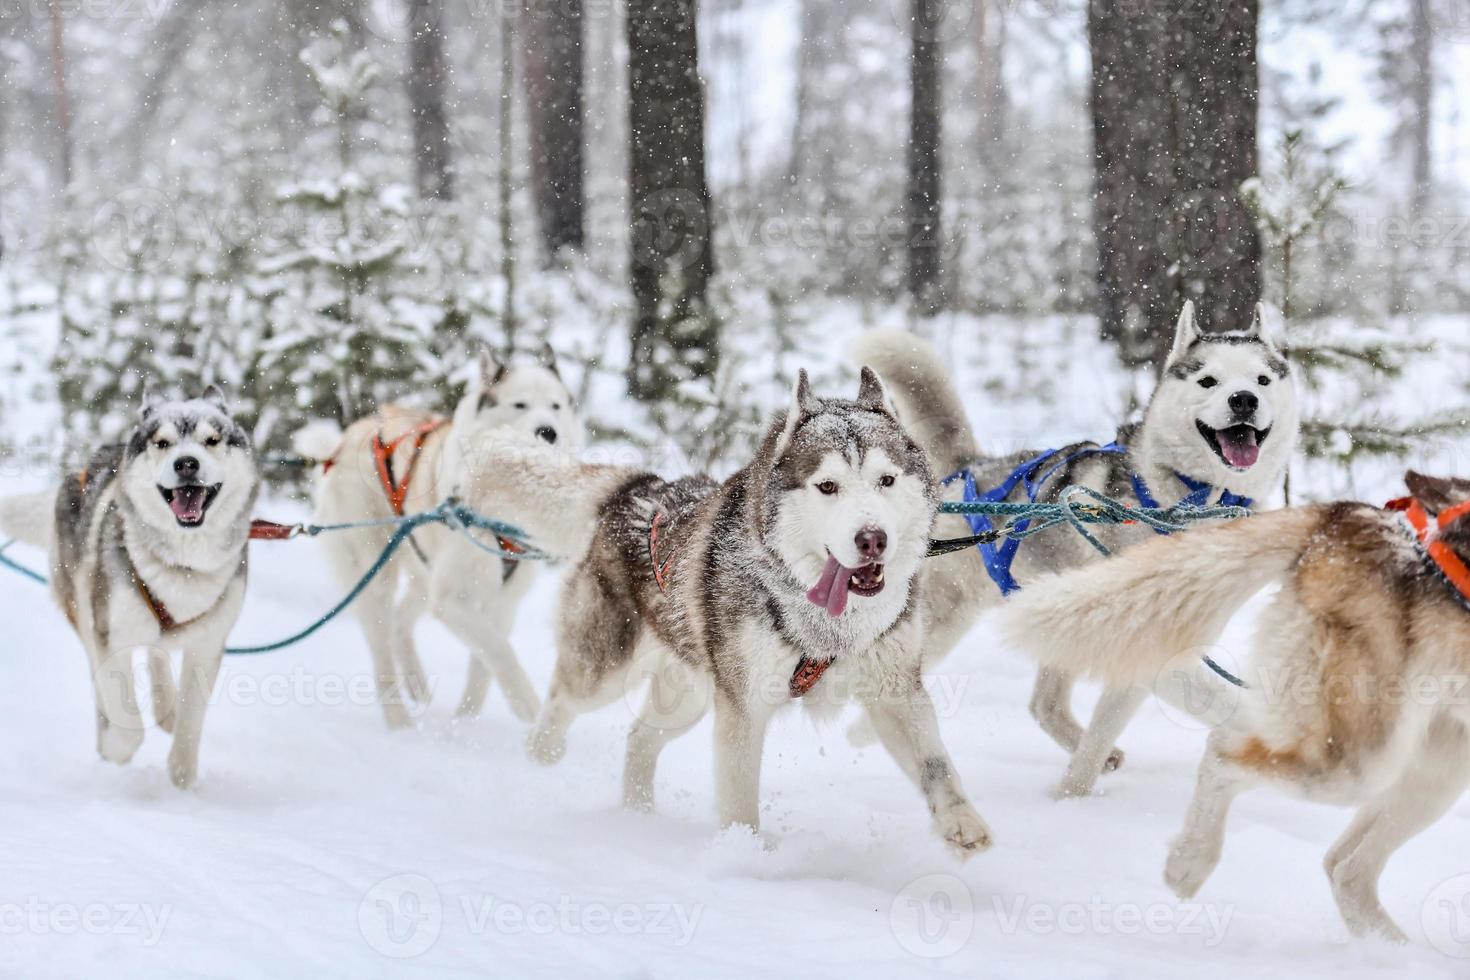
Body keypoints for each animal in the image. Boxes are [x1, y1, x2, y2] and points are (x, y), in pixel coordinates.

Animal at [0, 384, 258, 787]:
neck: (182, 564)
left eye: (212, 440)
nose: (187, 463)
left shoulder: (208, 644)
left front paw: (182, 774)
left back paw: (165, 708)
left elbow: (191, 718)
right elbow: (128, 724)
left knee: (158, 651)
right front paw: (116, 750)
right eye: (163, 443)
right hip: (85, 611)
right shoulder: (111, 636)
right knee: (104, 678)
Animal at [291, 345, 579, 728]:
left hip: (423, 576)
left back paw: (416, 682)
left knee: (400, 623)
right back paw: (399, 721)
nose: (548, 431)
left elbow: (483, 666)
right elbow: (498, 649)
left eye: (555, 405)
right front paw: (528, 705)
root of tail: (342, 443)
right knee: (382, 652)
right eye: (519, 405)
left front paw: (465, 722)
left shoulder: (502, 602)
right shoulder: (451, 599)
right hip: (377, 578)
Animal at [464, 367, 993, 858]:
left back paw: (638, 815)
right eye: (827, 486)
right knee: (561, 703)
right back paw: (543, 757)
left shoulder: (894, 690)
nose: (873, 539)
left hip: (686, 699)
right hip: (606, 670)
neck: (824, 620)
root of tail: (639, 489)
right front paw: (746, 857)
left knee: (640, 738)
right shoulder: (743, 706)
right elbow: (739, 797)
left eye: (886, 480)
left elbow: (935, 763)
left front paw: (960, 821)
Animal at [858, 302, 1305, 799]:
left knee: (1044, 705)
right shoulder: (1150, 649)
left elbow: (1100, 734)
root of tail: (971, 469)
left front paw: (1068, 798)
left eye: (1262, 380)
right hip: (944, 620)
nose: (1244, 399)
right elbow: (1226, 704)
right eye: (1208, 380)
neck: (1188, 503)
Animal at [993, 470, 1470, 946]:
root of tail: (1346, 515)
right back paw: (1190, 862)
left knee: (1345, 869)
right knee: (1226, 754)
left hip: (1431, 770)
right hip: (1357, 760)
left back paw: (1392, 951)